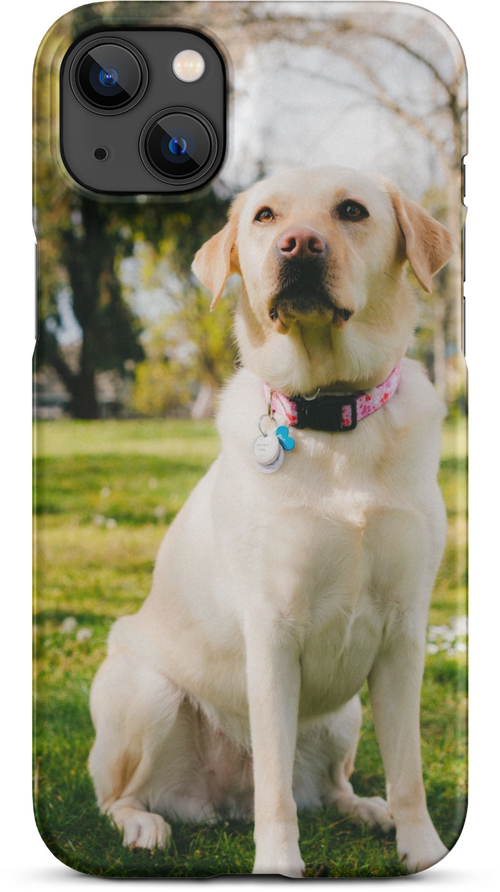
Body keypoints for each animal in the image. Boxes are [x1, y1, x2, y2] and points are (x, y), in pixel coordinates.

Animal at [89, 167, 454, 880]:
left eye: (352, 211)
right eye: (264, 217)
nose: (298, 245)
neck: (333, 415)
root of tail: (219, 801)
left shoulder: (404, 633)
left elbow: (409, 772)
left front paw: (421, 847)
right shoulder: (273, 630)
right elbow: (276, 790)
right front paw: (279, 862)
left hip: (345, 714)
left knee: (331, 786)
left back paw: (366, 808)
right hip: (143, 690)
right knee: (120, 796)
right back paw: (143, 824)